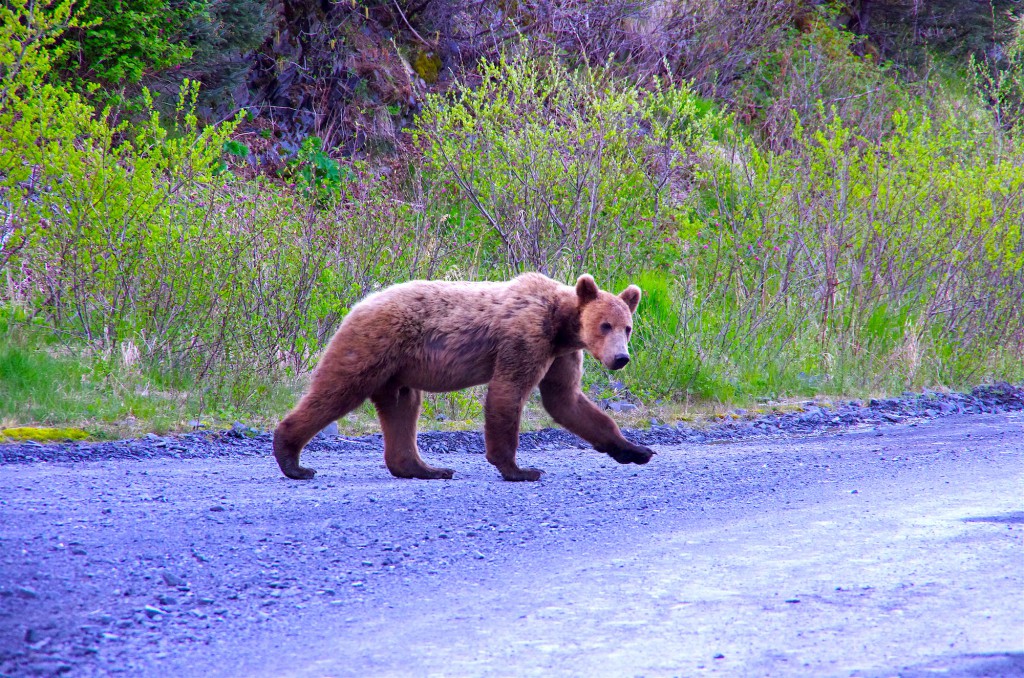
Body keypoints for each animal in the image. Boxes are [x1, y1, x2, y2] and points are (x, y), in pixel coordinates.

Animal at [274, 272, 655, 483]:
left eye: (627, 327)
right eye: (604, 325)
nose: (620, 358)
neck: (562, 325)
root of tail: (358, 304)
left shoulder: (560, 354)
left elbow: (567, 401)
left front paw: (636, 449)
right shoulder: (526, 338)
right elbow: (508, 392)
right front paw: (520, 469)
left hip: (399, 370)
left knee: (402, 407)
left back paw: (426, 468)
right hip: (373, 344)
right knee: (338, 389)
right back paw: (292, 460)